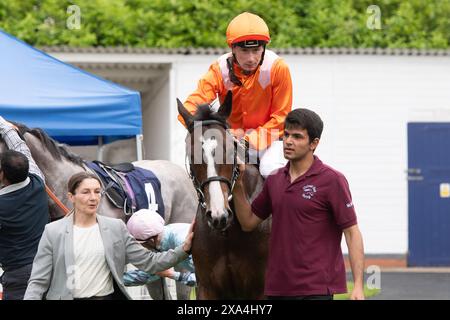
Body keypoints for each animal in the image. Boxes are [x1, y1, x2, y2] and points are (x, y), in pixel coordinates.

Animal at [178, 92, 270, 300]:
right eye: (191, 155)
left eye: (229, 150)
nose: (218, 215)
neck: (227, 234)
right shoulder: (207, 287)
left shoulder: (261, 289)